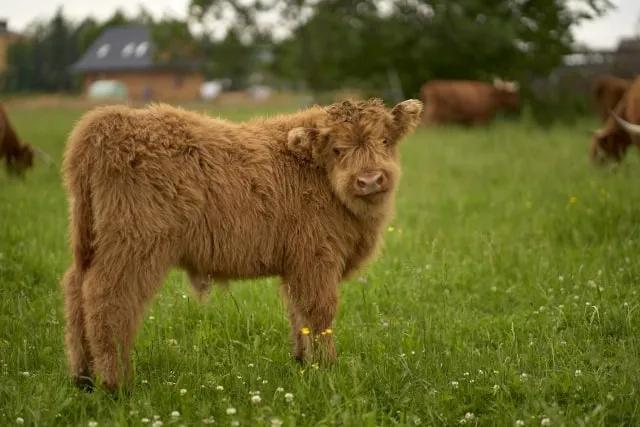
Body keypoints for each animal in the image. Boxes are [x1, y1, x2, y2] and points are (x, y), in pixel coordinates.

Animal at [61, 98, 423, 390]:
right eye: (338, 149)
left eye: (385, 140)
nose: (370, 180)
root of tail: (108, 121)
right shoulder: (316, 260)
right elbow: (319, 312)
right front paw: (328, 367)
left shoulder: (295, 267)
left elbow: (298, 314)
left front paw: (302, 361)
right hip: (134, 246)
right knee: (108, 299)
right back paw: (115, 383)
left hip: (91, 244)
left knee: (75, 289)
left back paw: (83, 377)